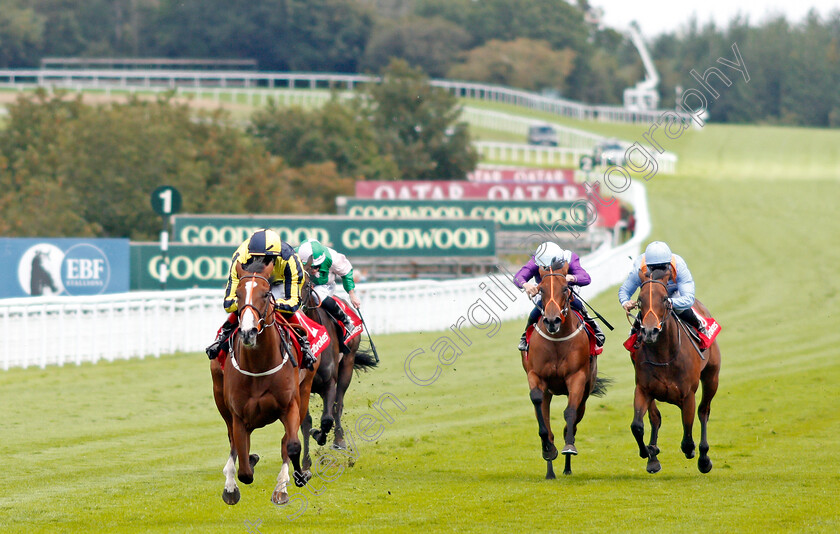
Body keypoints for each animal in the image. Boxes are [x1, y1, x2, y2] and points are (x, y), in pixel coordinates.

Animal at [210, 258, 308, 506]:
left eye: (265, 294)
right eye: (238, 294)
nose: (248, 332)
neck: (258, 365)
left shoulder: (290, 405)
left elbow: (292, 445)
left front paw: (296, 478)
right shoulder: (238, 415)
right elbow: (244, 469)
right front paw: (233, 484)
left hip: (305, 393)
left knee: (286, 442)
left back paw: (282, 487)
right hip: (220, 399)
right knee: (233, 442)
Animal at [520, 262, 608, 480]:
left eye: (565, 289)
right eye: (541, 290)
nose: (552, 321)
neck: (557, 340)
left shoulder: (577, 378)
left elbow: (570, 414)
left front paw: (569, 447)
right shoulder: (536, 376)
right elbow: (540, 410)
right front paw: (548, 449)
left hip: (585, 392)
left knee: (574, 419)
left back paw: (567, 466)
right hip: (549, 393)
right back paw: (550, 470)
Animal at [632, 270, 720, 476]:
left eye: (665, 299)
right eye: (639, 300)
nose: (649, 332)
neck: (664, 354)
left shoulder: (688, 395)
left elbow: (687, 439)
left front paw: (696, 454)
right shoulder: (643, 389)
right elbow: (637, 426)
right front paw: (649, 451)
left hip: (712, 377)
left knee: (704, 411)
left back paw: (704, 458)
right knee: (655, 418)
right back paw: (653, 459)